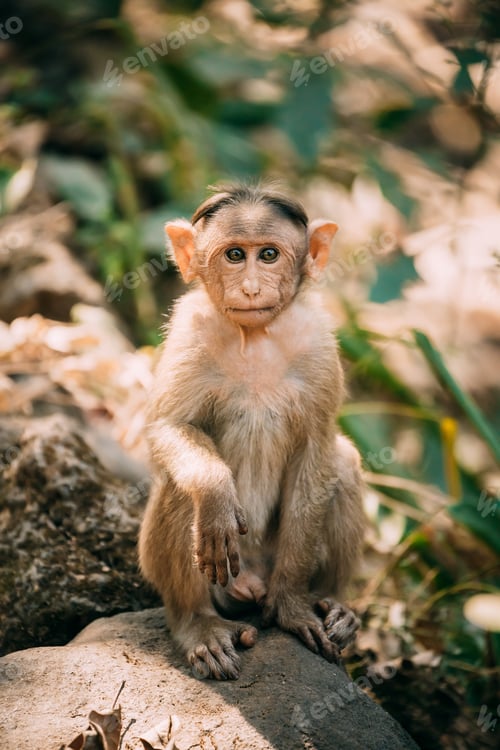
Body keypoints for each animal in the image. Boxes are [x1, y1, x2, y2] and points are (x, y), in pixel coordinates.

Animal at [138, 184, 365, 680]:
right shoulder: (189, 330)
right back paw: (197, 624)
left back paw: (332, 603)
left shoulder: (320, 345)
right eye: (235, 255)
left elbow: (318, 448)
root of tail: (252, 583)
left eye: (269, 254)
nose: (251, 288)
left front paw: (292, 607)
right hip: (222, 581)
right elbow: (169, 427)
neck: (255, 336)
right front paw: (216, 492)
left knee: (343, 462)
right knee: (182, 490)